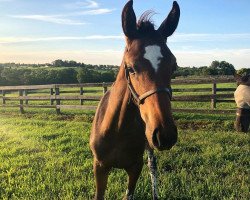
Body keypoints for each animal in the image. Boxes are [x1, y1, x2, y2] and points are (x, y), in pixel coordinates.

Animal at [90, 0, 180, 199]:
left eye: (174, 66)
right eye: (130, 68)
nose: (165, 134)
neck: (117, 129)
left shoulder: (135, 167)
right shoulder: (100, 166)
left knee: (152, 169)